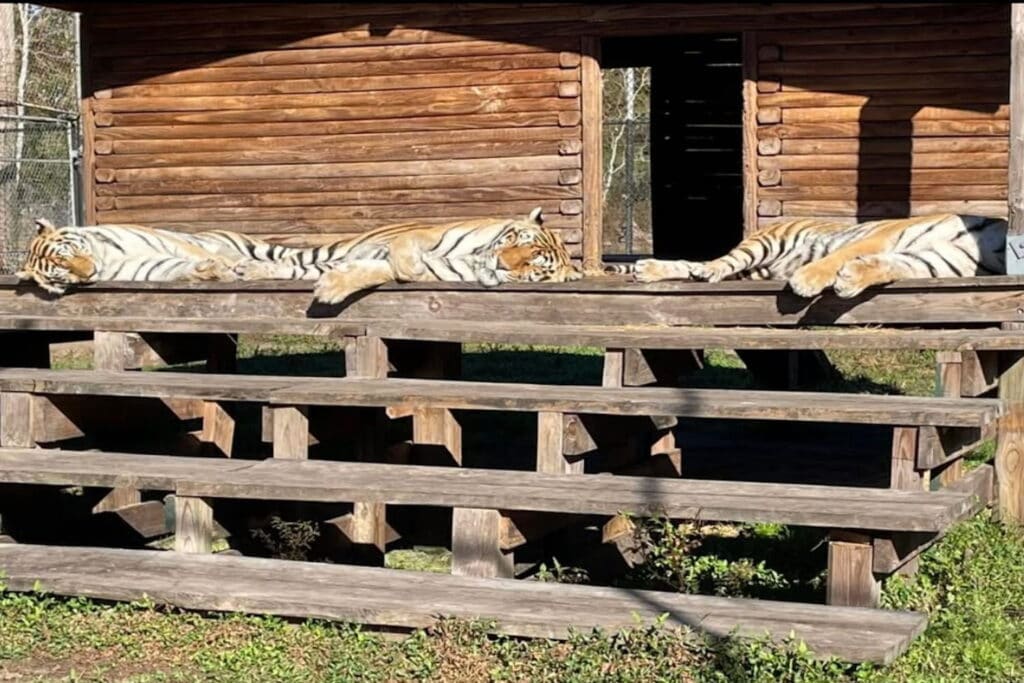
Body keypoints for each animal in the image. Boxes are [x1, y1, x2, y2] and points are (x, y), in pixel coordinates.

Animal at [15, 218, 310, 295]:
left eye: (72, 254)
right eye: (63, 273)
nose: (90, 271)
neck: (104, 259)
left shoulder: (175, 245)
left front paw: (231, 268)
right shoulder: (150, 268)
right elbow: (178, 270)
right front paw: (211, 271)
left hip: (260, 247)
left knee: (292, 255)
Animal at [232, 207, 585, 304]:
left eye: (531, 264)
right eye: (513, 239)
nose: (500, 262)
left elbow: (377, 271)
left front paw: (331, 288)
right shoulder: (420, 236)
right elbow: (405, 253)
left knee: (298, 268)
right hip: (334, 248)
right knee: (291, 260)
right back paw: (242, 267)